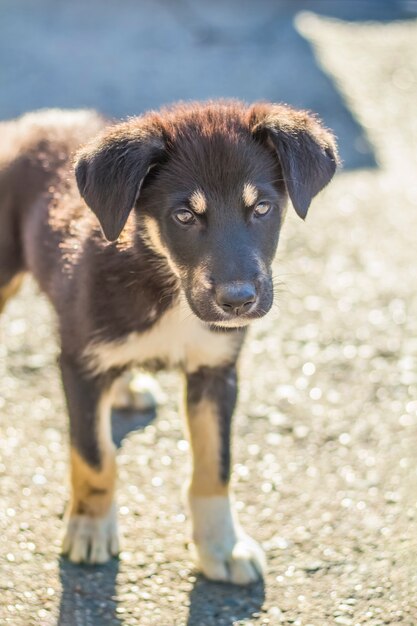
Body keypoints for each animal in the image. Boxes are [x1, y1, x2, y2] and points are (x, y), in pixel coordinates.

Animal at [0, 100, 338, 584]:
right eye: (184, 216)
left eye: (261, 208)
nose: (238, 301)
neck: (169, 288)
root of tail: (31, 122)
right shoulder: (79, 364)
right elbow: (94, 457)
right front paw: (90, 527)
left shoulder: (216, 371)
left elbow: (215, 466)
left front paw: (222, 546)